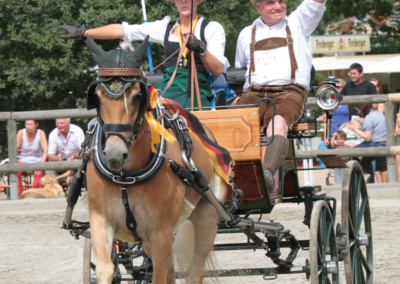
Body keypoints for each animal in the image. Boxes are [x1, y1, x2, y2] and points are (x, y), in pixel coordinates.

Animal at [83, 35, 234, 282]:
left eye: (137, 96)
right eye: (96, 96)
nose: (114, 154)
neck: (126, 177)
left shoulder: (161, 232)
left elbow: (160, 275)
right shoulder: (100, 221)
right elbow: (106, 270)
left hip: (208, 215)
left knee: (194, 271)